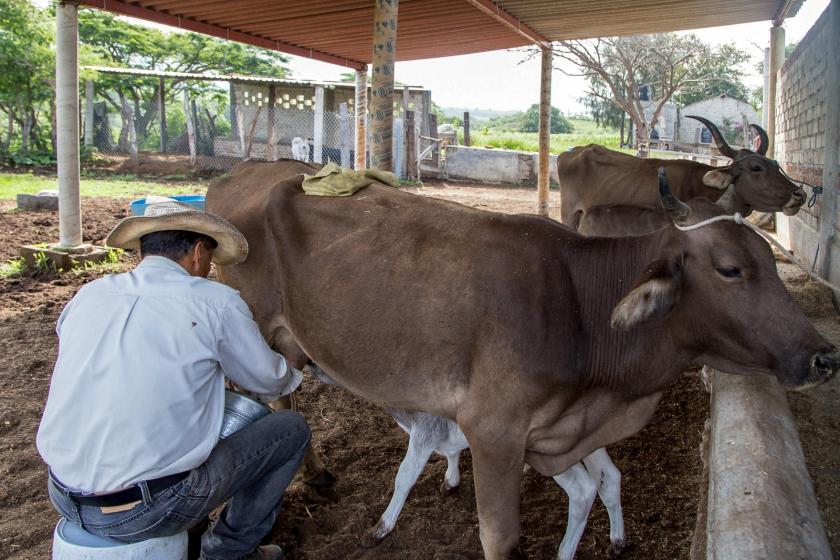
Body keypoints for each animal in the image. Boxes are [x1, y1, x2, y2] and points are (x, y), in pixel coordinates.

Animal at [207, 160, 838, 559]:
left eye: (769, 260)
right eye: (730, 269)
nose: (824, 358)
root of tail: (241, 173)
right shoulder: (494, 433)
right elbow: (500, 539)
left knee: (284, 394)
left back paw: (315, 475)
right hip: (252, 323)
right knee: (266, 395)